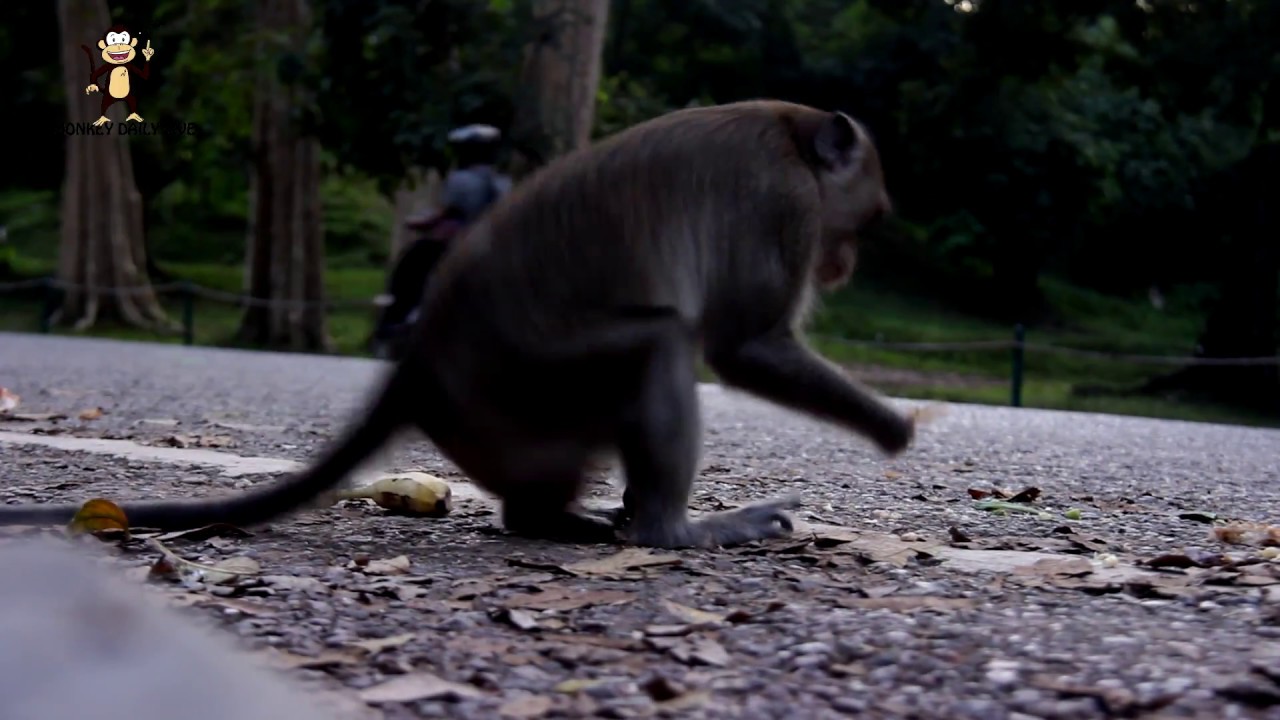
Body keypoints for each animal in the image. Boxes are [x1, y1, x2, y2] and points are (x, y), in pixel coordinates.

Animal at [0, 100, 915, 549]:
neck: (792, 136)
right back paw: (672, 531)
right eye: (867, 220)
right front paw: (896, 428)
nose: (842, 267)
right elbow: (741, 345)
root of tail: (419, 359)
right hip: (522, 390)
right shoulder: (783, 204)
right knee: (662, 344)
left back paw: (562, 520)